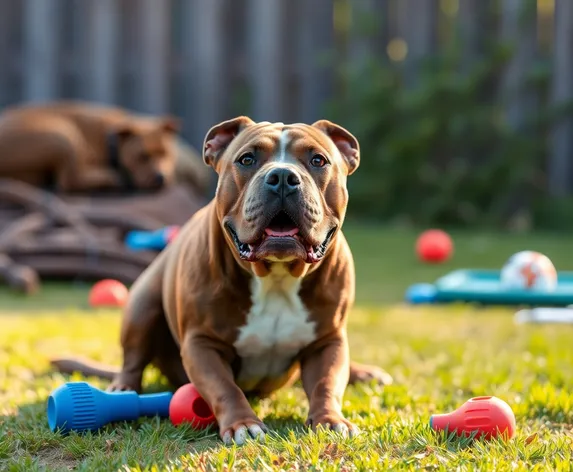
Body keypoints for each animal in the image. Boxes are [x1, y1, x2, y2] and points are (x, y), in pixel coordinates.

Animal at [0, 101, 180, 194]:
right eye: (141, 156)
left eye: (166, 154)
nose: (160, 178)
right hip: (62, 132)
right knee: (69, 181)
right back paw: (114, 179)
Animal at [51, 116, 392, 444]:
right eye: (247, 159)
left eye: (318, 160)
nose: (283, 177)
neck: (276, 276)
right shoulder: (202, 343)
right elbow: (224, 387)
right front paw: (243, 424)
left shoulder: (328, 341)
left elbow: (326, 383)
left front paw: (330, 420)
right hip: (141, 306)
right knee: (132, 361)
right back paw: (121, 391)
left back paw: (365, 373)